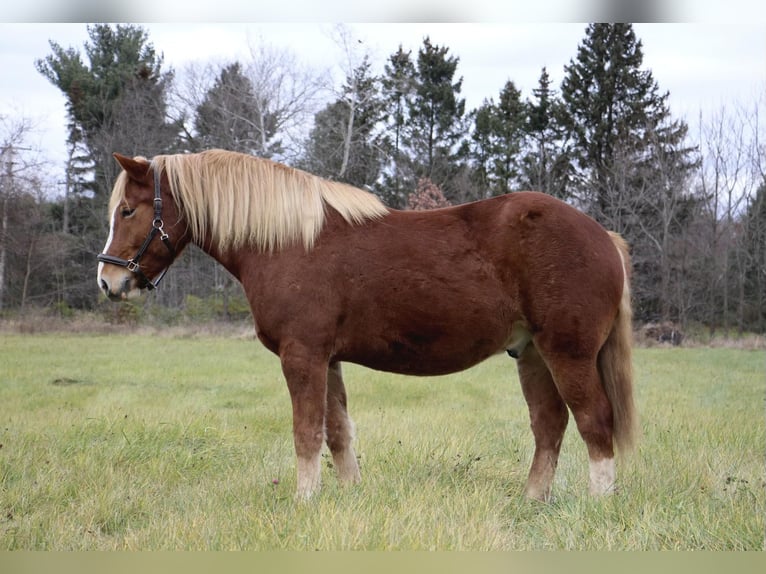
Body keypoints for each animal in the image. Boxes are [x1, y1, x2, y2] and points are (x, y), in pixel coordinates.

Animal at [96, 150, 640, 504]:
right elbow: (338, 431)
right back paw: (530, 502)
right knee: (550, 425)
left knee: (594, 421)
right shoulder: (328, 358)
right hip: (531, 354)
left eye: (128, 210)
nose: (108, 281)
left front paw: (304, 502)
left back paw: (598, 504)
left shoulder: (303, 355)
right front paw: (349, 495)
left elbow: (307, 431)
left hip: (567, 353)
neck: (289, 242)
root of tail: (604, 237)